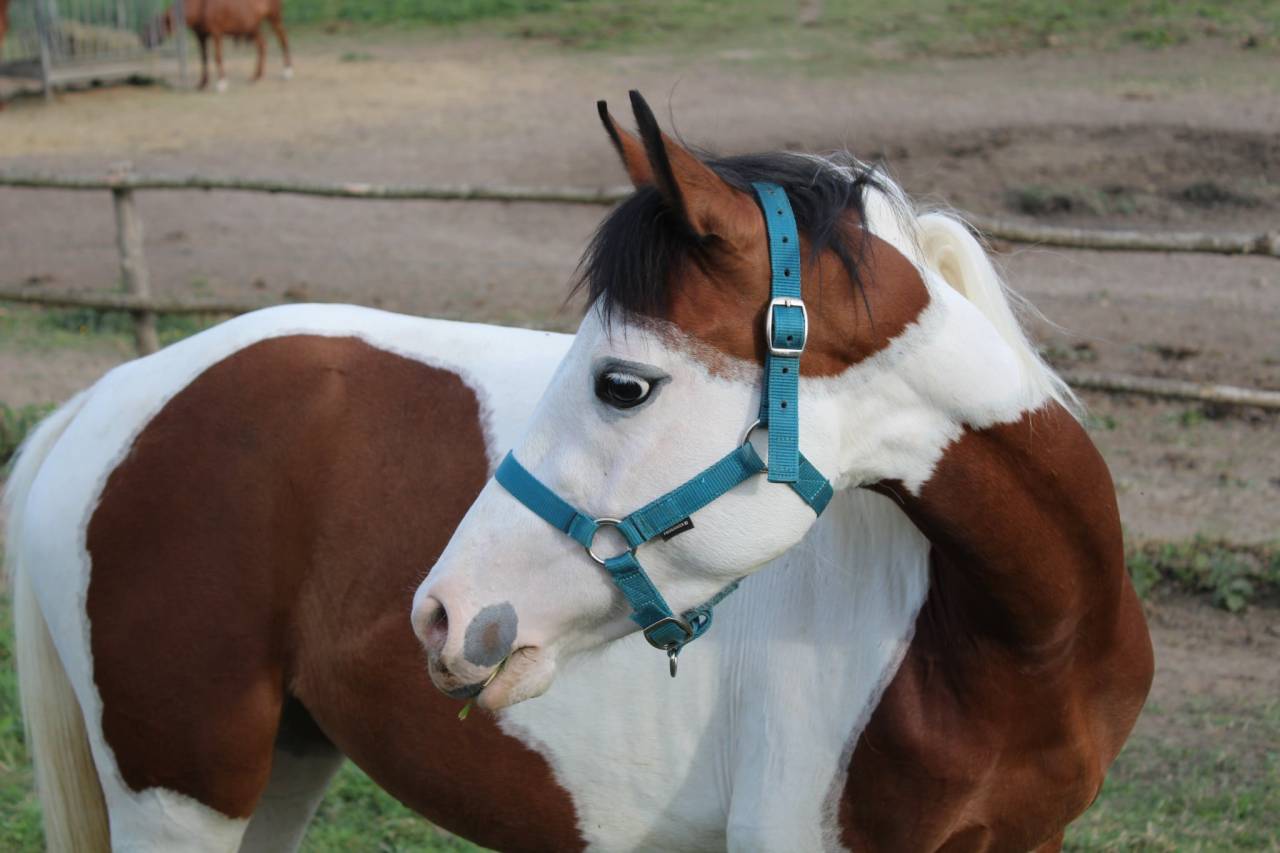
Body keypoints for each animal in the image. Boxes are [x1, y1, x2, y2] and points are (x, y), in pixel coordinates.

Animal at [143, 0, 292, 92]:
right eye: (148, 26)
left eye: (155, 28)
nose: (145, 41)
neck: (201, 6)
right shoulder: (201, 36)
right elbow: (203, 58)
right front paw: (202, 83)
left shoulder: (216, 33)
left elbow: (217, 57)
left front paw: (221, 83)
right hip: (252, 26)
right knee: (262, 45)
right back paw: (256, 76)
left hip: (274, 18)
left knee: (283, 40)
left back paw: (287, 71)